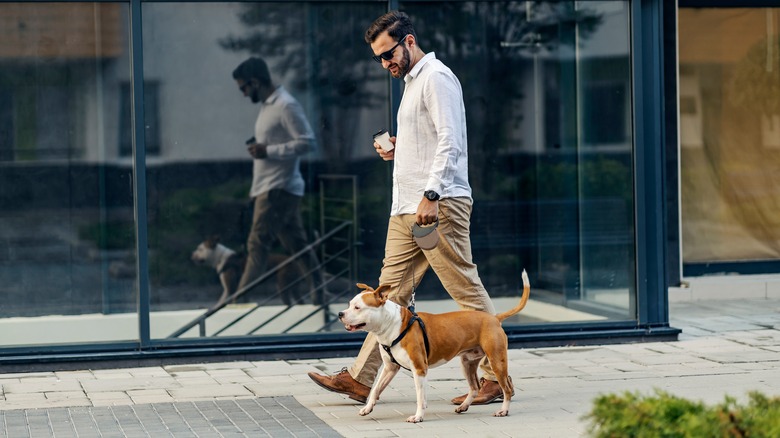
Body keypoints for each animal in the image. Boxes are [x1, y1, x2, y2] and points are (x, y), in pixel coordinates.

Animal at [340, 268, 532, 422]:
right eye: (349, 304)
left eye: (357, 307)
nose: (340, 313)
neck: (392, 324)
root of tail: (494, 318)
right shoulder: (389, 368)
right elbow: (375, 389)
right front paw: (367, 408)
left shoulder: (419, 369)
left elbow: (420, 397)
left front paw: (418, 416)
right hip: (467, 362)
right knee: (475, 387)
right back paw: (463, 406)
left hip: (496, 360)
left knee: (506, 388)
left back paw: (503, 410)